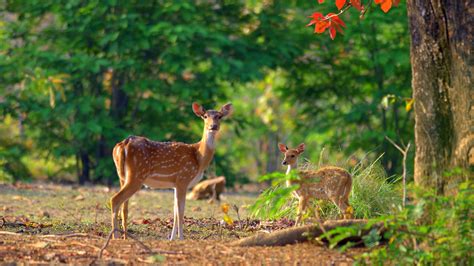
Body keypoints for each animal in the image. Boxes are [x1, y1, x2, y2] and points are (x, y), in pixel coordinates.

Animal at [109, 102, 231, 239]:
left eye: (219, 116)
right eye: (205, 116)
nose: (213, 126)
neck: (199, 158)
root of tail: (123, 145)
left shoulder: (175, 184)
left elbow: (175, 210)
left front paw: (172, 238)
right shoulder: (184, 177)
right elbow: (181, 210)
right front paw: (181, 238)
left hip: (122, 176)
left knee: (123, 207)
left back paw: (123, 237)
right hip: (137, 175)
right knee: (115, 200)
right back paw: (115, 237)